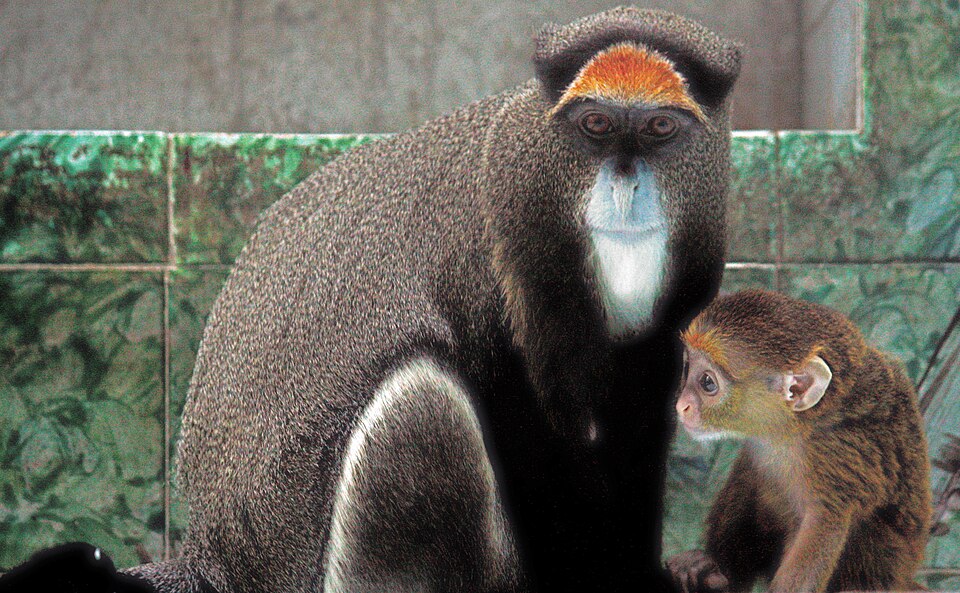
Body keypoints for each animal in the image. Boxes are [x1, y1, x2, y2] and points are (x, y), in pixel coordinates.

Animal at [112, 8, 741, 593]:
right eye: (596, 123)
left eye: (659, 126)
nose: (626, 185)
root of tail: (212, 560)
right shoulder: (512, 252)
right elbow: (535, 432)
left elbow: (638, 426)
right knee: (421, 400)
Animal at [666, 289, 932, 593]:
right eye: (687, 368)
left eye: (708, 383)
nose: (682, 405)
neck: (795, 430)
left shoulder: (835, 454)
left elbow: (824, 523)